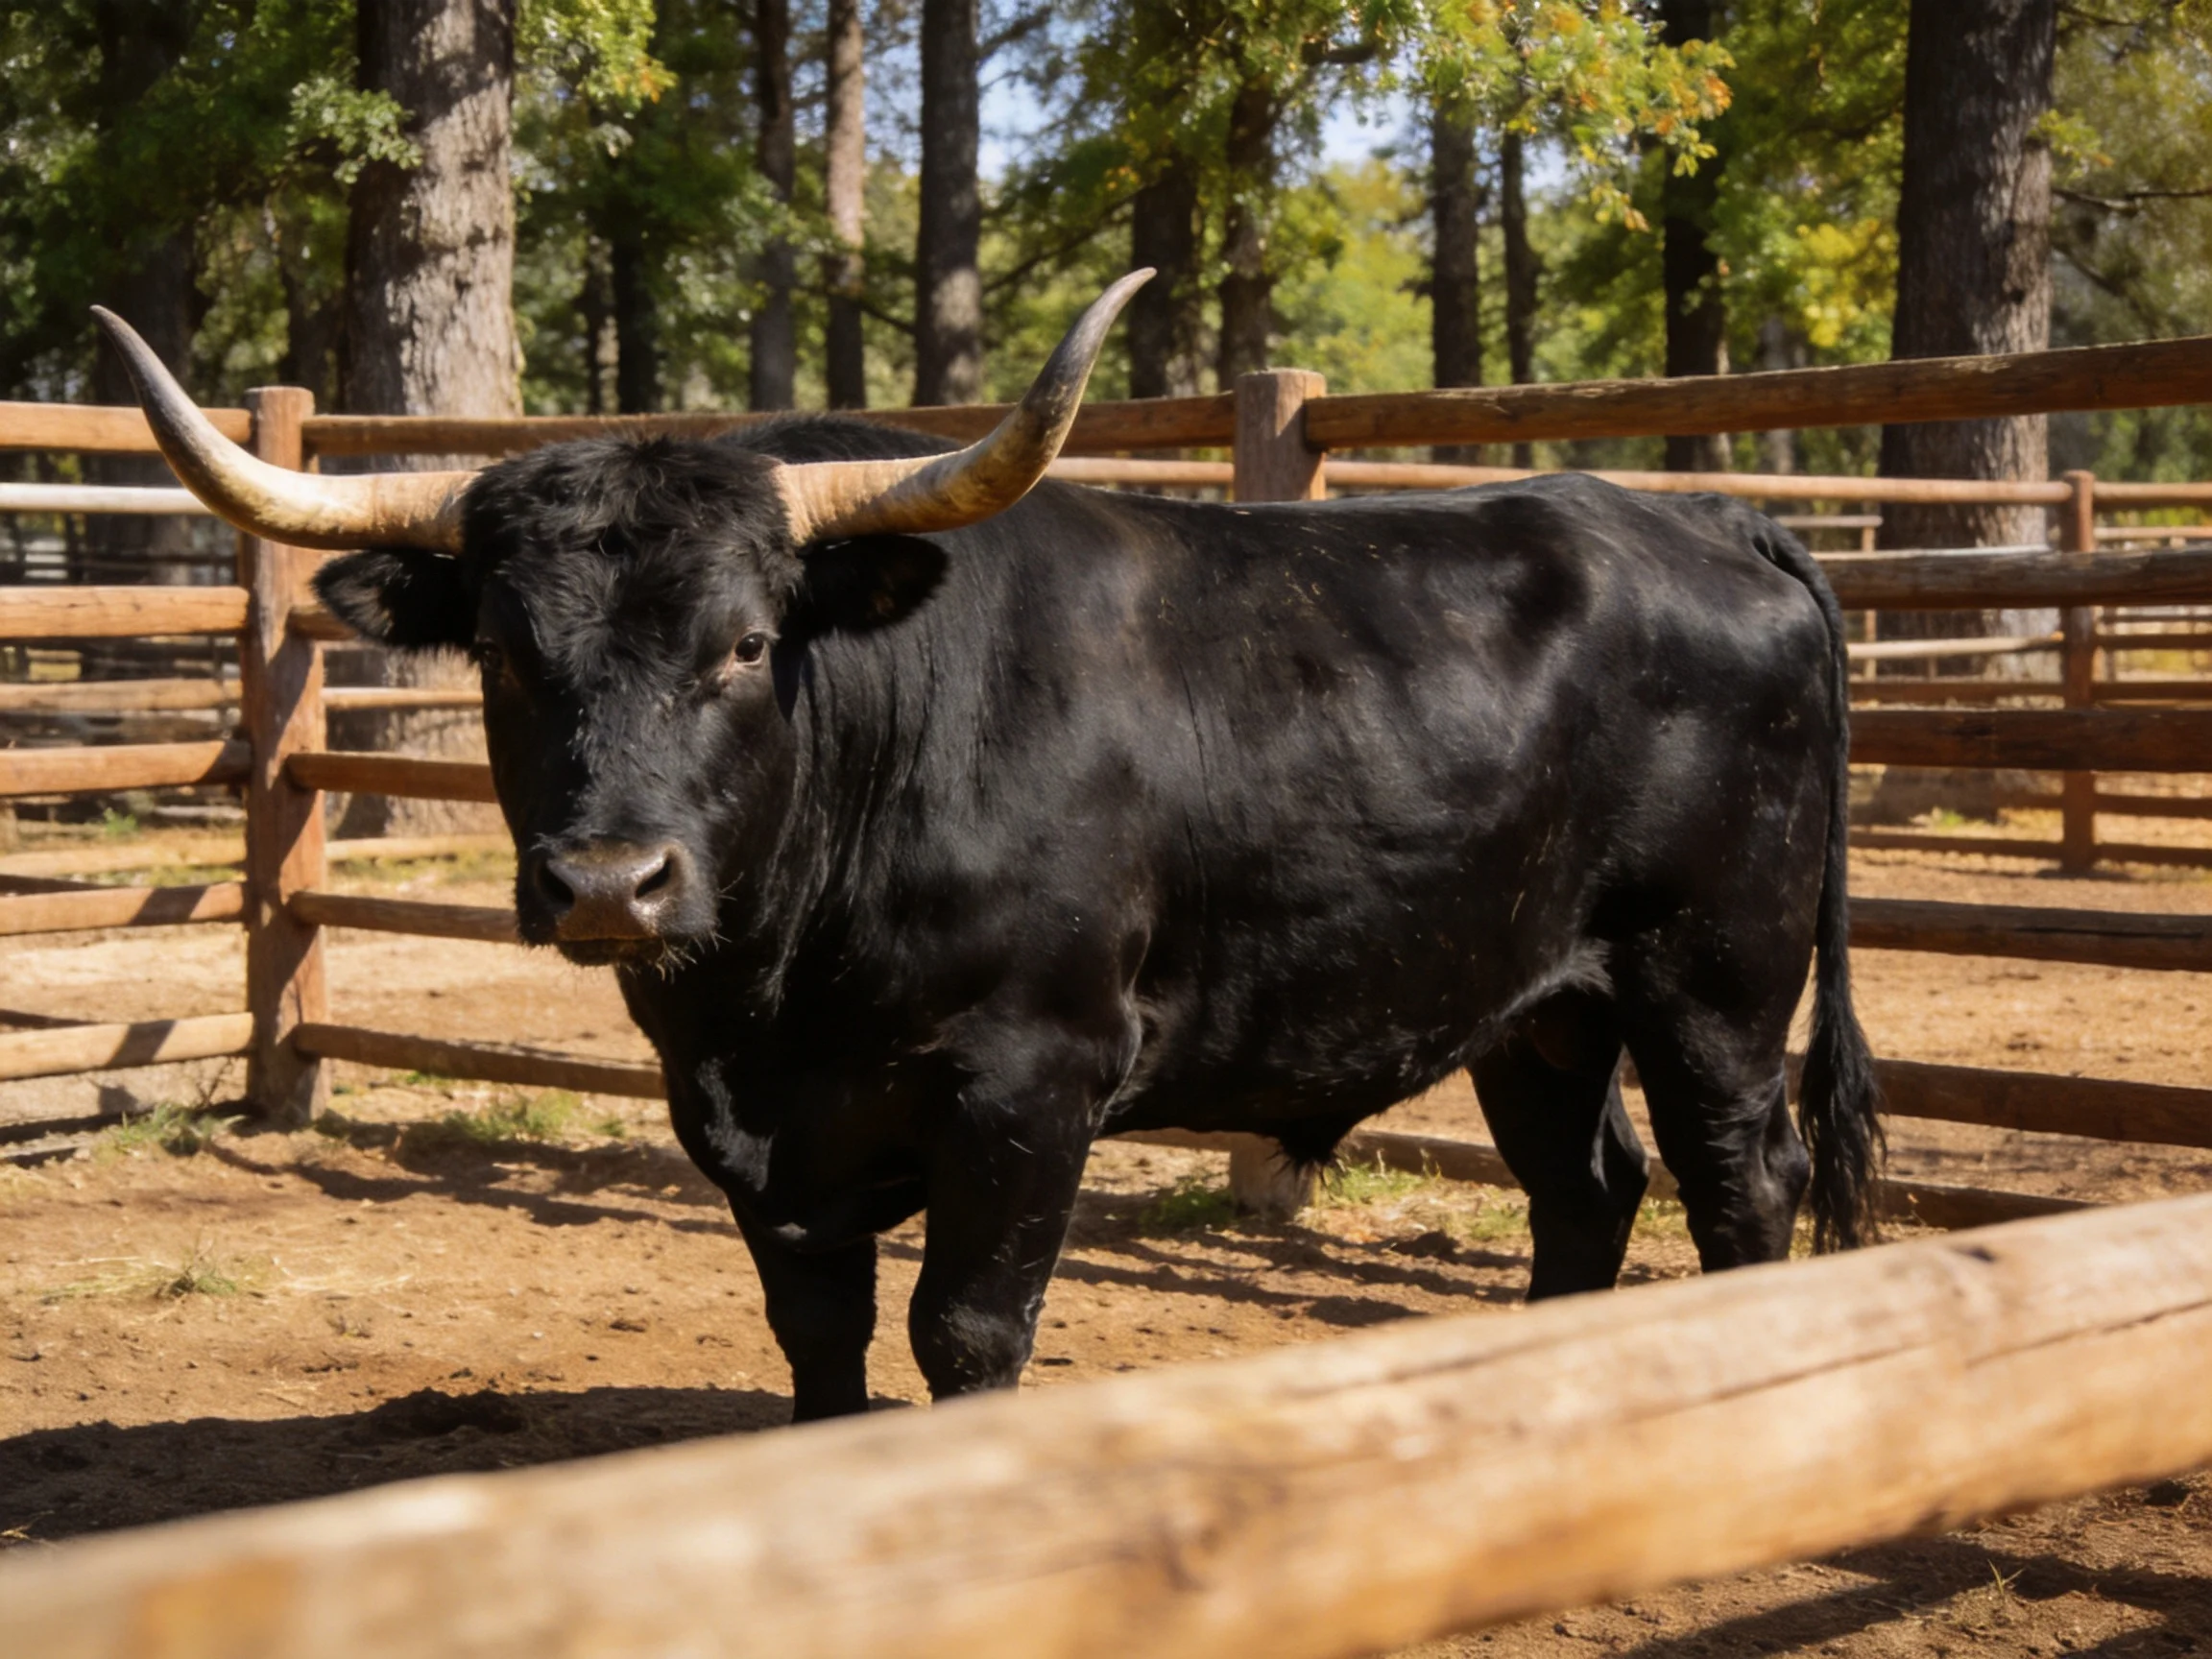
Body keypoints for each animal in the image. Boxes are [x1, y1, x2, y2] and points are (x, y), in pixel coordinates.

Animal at [99, 275, 1880, 1422]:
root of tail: (1704, 520)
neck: (773, 988)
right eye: (507, 654)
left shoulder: (1031, 1080)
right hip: (1535, 1002)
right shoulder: (757, 1133)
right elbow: (815, 1333)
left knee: (1744, 1182)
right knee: (1586, 1189)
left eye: (748, 643)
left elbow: (964, 1330)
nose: (609, 883)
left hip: (1714, 980)